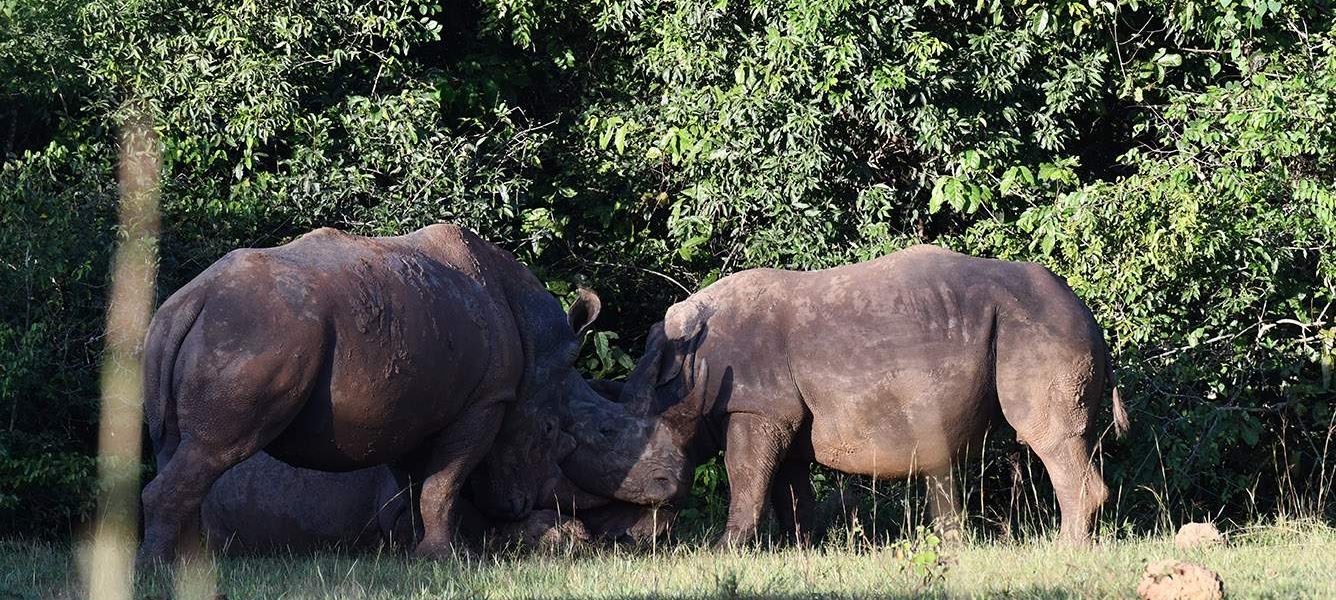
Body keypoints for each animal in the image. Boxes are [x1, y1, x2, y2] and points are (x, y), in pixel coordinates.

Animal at [139, 224, 607, 561]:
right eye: (549, 431)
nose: (517, 507)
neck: (537, 342)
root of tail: (192, 298)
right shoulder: (487, 399)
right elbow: (444, 484)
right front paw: (447, 558)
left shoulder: (411, 412)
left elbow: (417, 485)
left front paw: (415, 552)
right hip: (254, 332)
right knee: (215, 450)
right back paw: (158, 570)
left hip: (190, 333)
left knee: (175, 448)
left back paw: (191, 569)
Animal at [576, 245, 1130, 545]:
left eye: (655, 479)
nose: (622, 542)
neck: (683, 375)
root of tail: (1089, 314)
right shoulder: (782, 415)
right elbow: (787, 488)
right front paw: (801, 549)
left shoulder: (756, 408)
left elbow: (745, 478)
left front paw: (725, 549)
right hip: (1040, 321)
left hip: (1039, 325)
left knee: (1047, 436)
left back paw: (1064, 549)